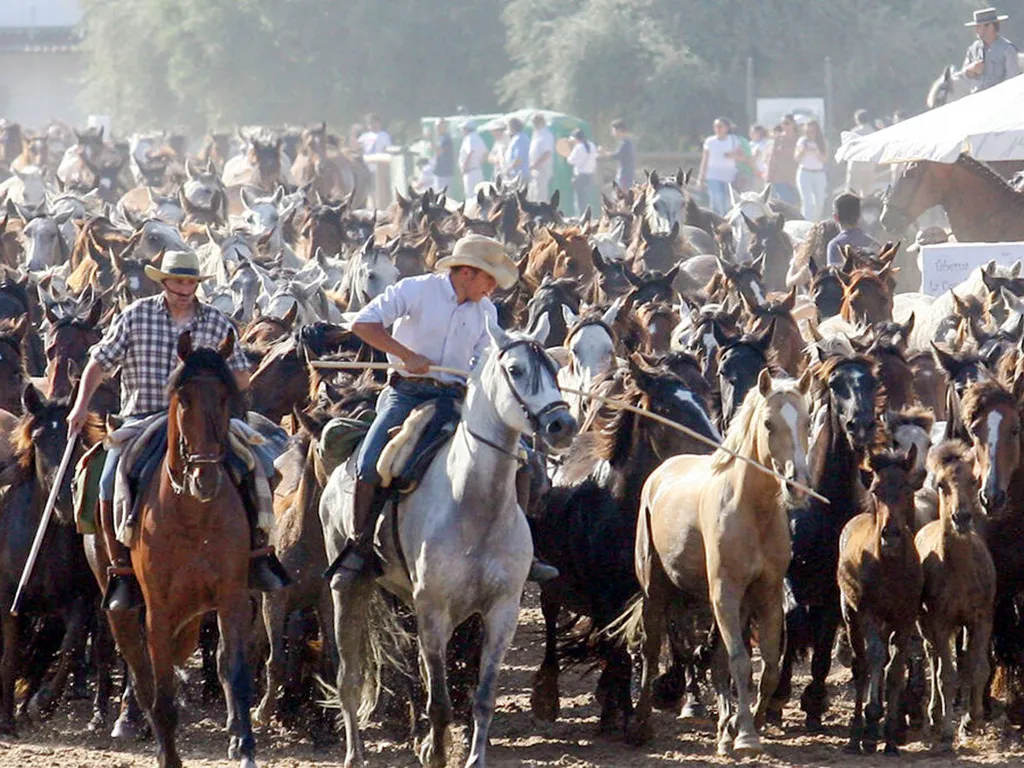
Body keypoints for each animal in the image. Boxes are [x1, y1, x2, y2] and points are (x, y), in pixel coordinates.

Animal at [99, 333, 258, 768]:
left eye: (225, 394)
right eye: (183, 397)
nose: (205, 478)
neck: (192, 514)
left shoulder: (232, 597)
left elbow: (235, 673)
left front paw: (244, 748)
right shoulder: (158, 610)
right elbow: (161, 689)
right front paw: (168, 753)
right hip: (123, 605)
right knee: (140, 670)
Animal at [839, 448, 929, 753]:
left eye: (907, 489)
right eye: (876, 491)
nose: (890, 535)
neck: (889, 566)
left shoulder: (905, 616)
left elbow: (896, 665)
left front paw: (890, 735)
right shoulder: (868, 612)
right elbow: (875, 657)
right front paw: (872, 721)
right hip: (851, 615)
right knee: (861, 664)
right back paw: (857, 733)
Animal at [917, 442, 995, 749]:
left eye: (974, 480)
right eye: (941, 484)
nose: (961, 517)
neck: (960, 571)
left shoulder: (982, 618)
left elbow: (978, 668)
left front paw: (973, 720)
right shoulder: (940, 621)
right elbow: (946, 676)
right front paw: (948, 730)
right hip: (925, 625)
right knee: (934, 658)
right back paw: (934, 715)